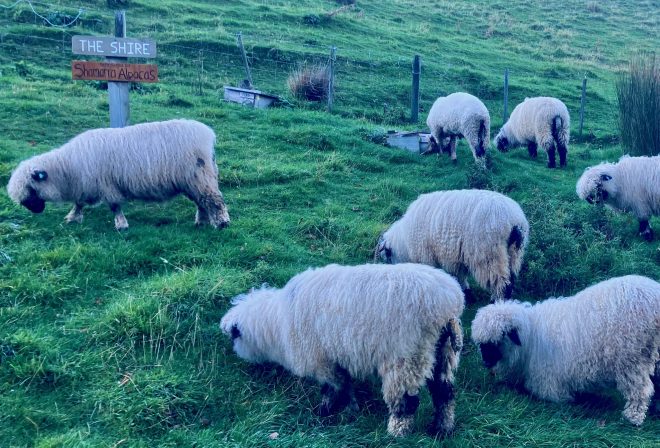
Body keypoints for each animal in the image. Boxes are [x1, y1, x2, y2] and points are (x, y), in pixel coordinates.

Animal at [6, 119, 229, 231]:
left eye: (30, 188)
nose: (35, 211)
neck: (67, 167)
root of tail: (208, 134)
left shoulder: (106, 185)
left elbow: (115, 206)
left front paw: (121, 225)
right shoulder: (87, 185)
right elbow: (79, 203)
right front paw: (73, 217)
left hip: (200, 176)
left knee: (214, 199)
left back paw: (221, 223)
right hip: (192, 180)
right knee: (201, 201)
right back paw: (201, 222)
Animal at [220, 263, 465, 437]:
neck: (276, 323)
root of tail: (448, 305)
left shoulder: (322, 360)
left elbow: (333, 388)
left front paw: (325, 413)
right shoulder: (336, 358)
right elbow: (346, 386)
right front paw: (351, 411)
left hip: (406, 356)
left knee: (407, 402)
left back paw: (396, 434)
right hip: (442, 353)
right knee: (445, 393)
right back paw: (441, 430)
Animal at [375, 189, 529, 302]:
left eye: (387, 257)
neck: (404, 241)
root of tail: (514, 220)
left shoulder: (427, 256)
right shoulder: (457, 256)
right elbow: (460, 275)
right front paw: (467, 292)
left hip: (490, 254)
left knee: (502, 282)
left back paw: (497, 301)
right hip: (514, 253)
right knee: (511, 278)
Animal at [471, 275, 660, 426]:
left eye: (496, 341)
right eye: (481, 344)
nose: (485, 362)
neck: (531, 336)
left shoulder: (548, 378)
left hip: (631, 358)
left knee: (640, 390)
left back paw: (633, 418)